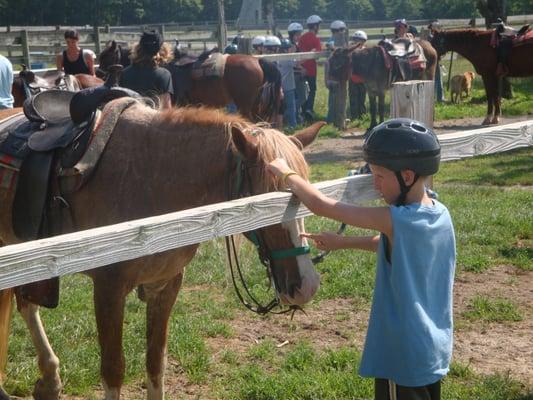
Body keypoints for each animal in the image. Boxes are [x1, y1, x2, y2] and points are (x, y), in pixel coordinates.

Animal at [0, 104, 324, 398]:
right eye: (266, 201)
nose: (306, 285)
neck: (151, 180)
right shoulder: (108, 289)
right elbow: (113, 370)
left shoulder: (165, 285)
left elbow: (156, 362)